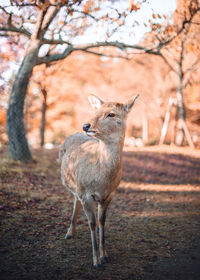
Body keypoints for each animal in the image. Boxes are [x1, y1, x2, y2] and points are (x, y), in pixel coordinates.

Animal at [59, 94, 139, 270]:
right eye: (95, 110)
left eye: (111, 114)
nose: (85, 125)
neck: (102, 181)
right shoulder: (86, 194)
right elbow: (92, 223)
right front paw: (96, 261)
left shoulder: (109, 195)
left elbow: (102, 222)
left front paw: (105, 255)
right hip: (76, 186)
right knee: (75, 200)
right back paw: (68, 234)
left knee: (76, 202)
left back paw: (71, 233)